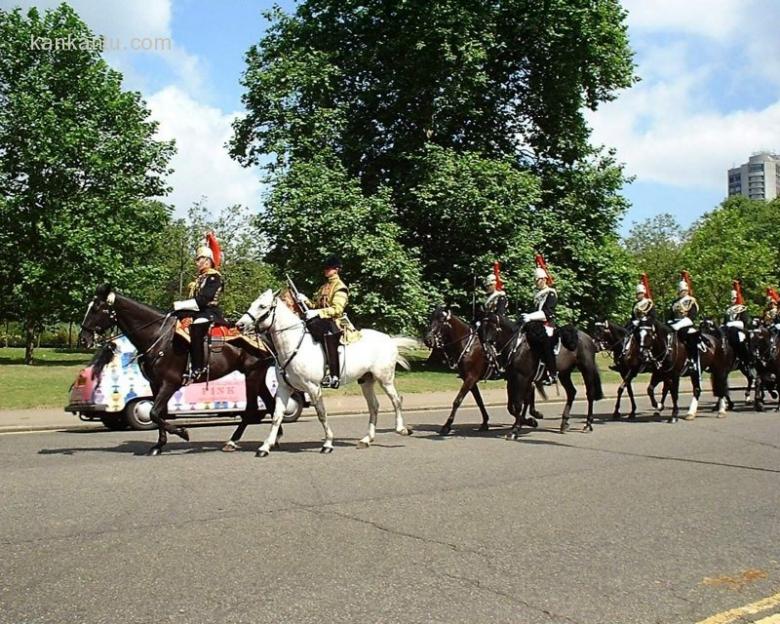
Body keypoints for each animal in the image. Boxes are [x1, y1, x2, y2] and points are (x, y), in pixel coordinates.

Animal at [78, 284, 280, 454]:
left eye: (96, 308)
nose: (83, 339)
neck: (158, 336)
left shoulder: (170, 382)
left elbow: (153, 413)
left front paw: (183, 432)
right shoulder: (156, 385)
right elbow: (159, 413)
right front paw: (159, 445)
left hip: (252, 374)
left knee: (252, 408)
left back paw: (234, 441)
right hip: (255, 374)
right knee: (270, 403)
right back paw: (274, 439)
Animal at [238, 290, 418, 456]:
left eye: (262, 306)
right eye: (253, 303)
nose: (240, 325)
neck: (293, 346)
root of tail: (389, 340)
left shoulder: (313, 388)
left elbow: (321, 414)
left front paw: (328, 444)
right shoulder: (284, 388)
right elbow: (277, 416)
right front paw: (265, 447)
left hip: (385, 379)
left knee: (396, 400)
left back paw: (401, 429)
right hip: (366, 381)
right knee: (374, 406)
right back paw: (366, 440)